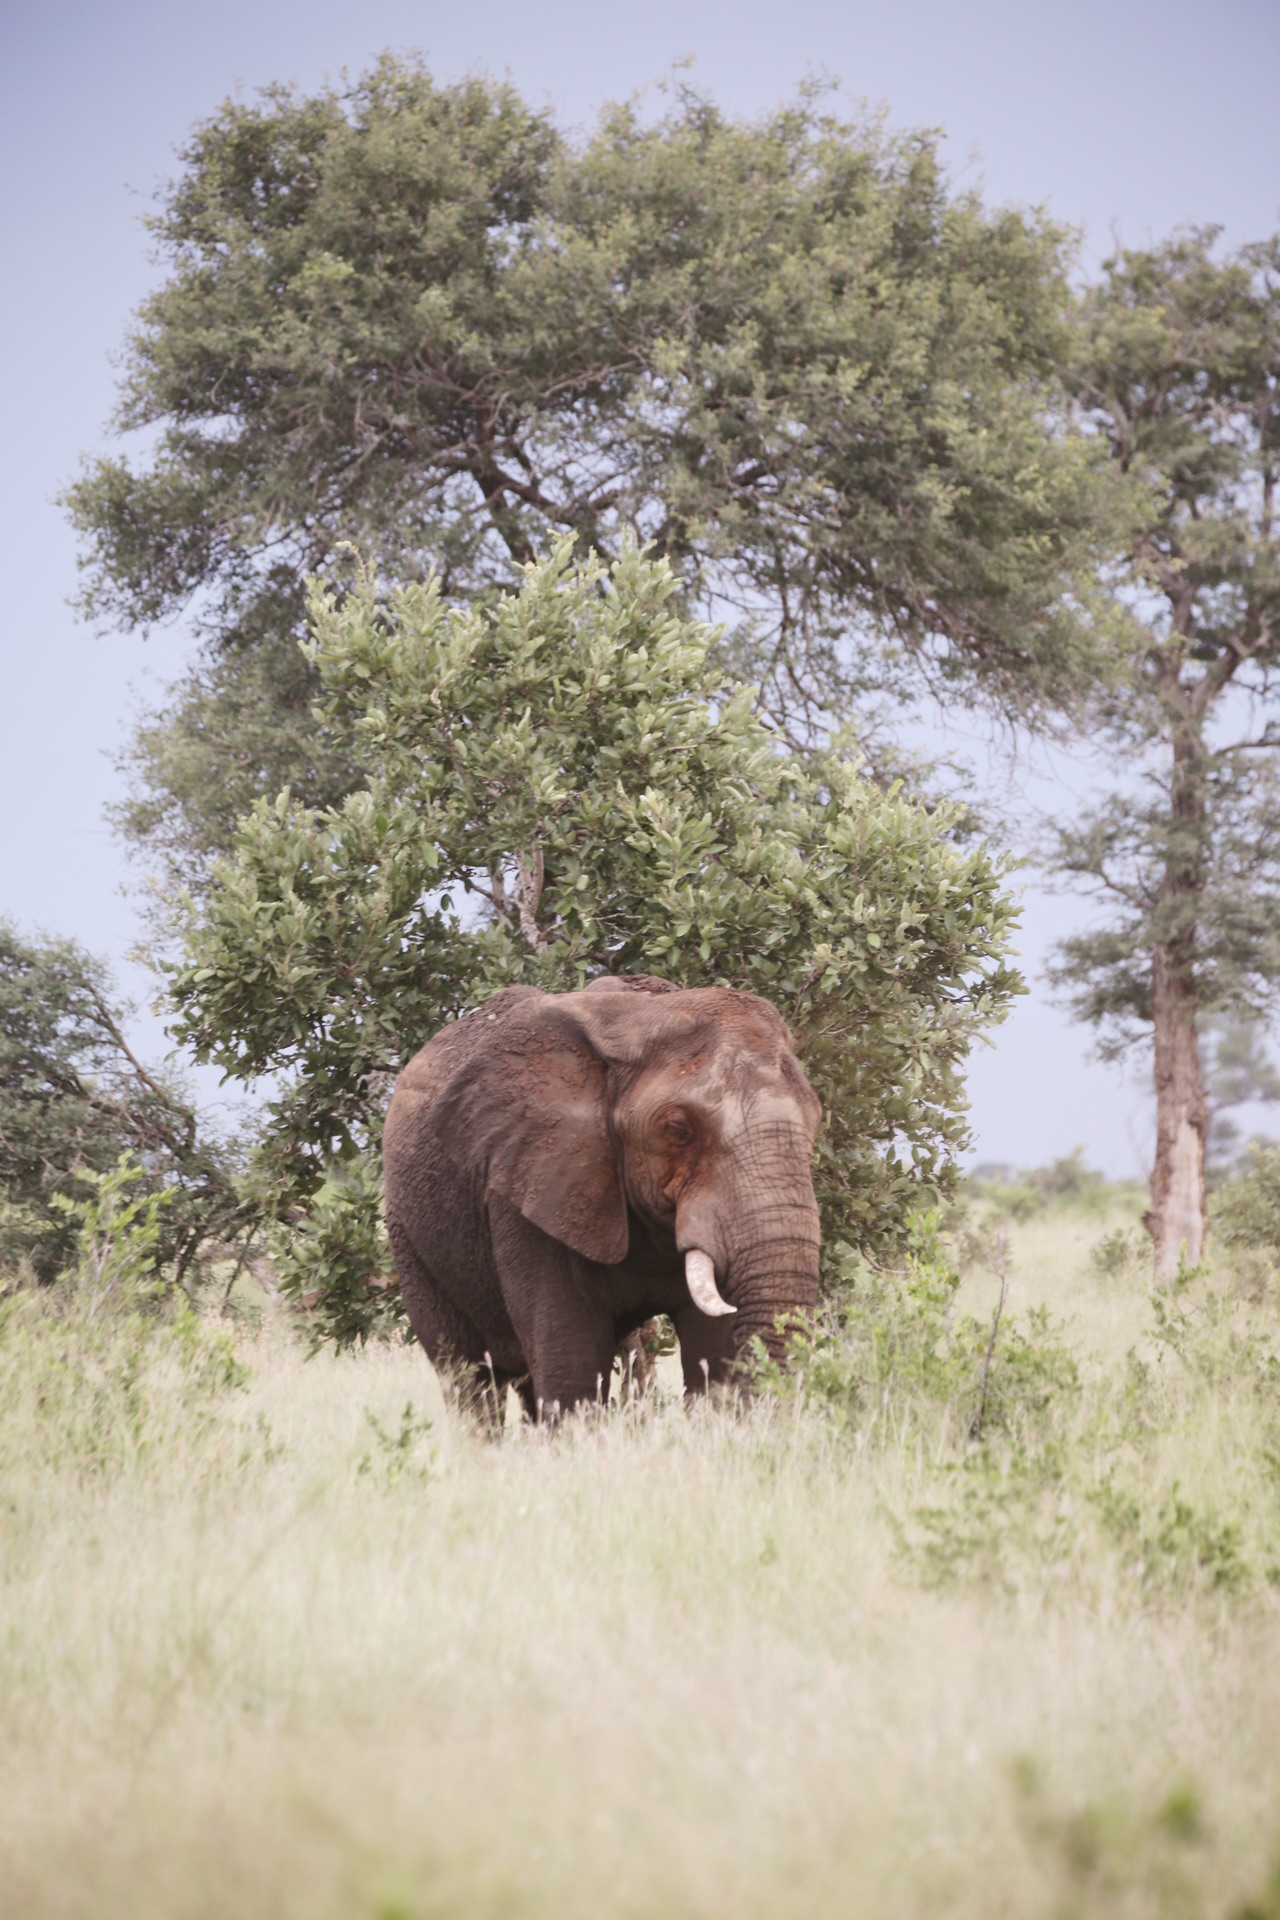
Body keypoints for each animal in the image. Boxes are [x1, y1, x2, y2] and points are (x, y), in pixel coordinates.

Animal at [383, 975, 821, 1413]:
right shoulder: (530, 1184)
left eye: (816, 1119)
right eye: (678, 1129)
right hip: (409, 1235)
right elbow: (570, 1367)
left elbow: (713, 1356)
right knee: (469, 1378)